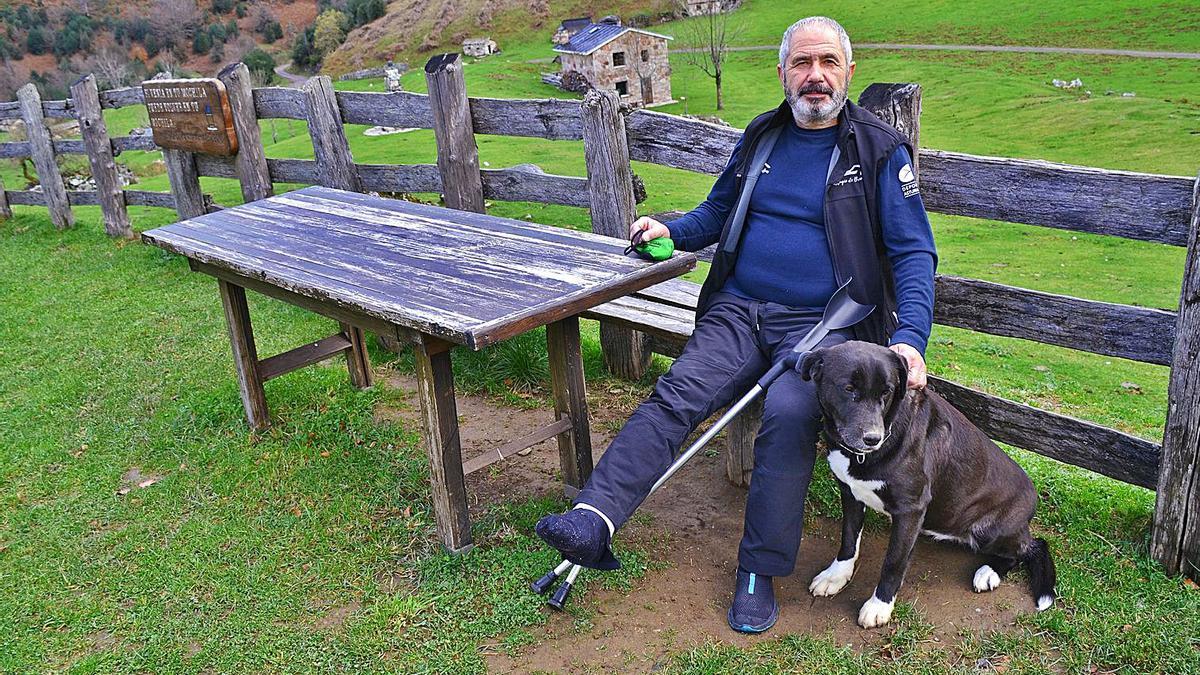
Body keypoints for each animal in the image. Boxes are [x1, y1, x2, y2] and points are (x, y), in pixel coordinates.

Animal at [801, 341, 1056, 624]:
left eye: (887, 391)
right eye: (848, 389)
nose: (873, 439)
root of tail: (1033, 499)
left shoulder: (911, 509)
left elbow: (893, 563)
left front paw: (880, 605)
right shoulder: (850, 493)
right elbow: (848, 539)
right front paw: (836, 575)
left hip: (988, 529)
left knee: (1027, 549)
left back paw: (989, 572)